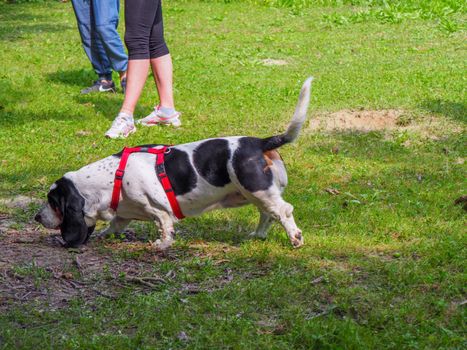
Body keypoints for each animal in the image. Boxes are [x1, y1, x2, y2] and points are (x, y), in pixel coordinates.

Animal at [34, 77, 314, 249]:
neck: (112, 178)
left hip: (258, 190)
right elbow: (115, 225)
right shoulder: (123, 214)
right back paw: (258, 235)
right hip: (258, 195)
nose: (37, 217)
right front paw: (105, 235)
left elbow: (163, 224)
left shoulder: (157, 208)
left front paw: (162, 244)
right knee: (268, 214)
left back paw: (295, 238)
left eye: (53, 202)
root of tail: (261, 143)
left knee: (284, 211)